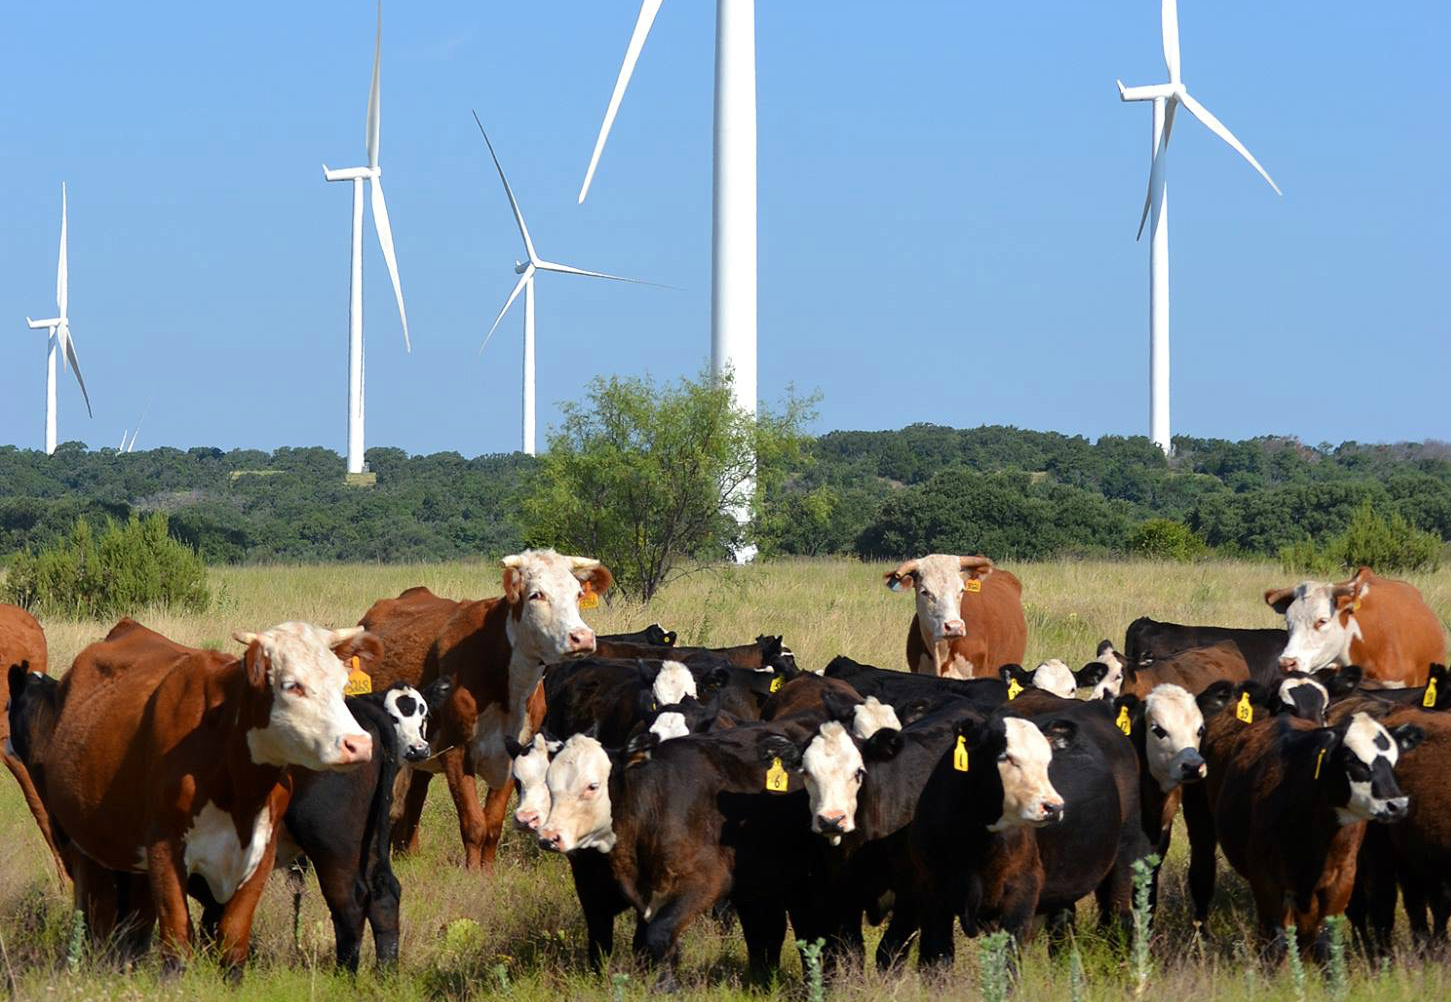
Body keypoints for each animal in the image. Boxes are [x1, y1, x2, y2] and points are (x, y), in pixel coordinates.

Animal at [43, 620, 377, 974]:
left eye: (343, 684)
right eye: (292, 685)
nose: (358, 744)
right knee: (96, 907)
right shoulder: (164, 846)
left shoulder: (263, 851)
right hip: (82, 843)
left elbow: (232, 938)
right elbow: (177, 939)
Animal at [365, 548, 615, 870]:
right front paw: (472, 875)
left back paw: (408, 853)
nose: (581, 637)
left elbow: (493, 824)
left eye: (577, 594)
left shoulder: (515, 751)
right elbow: (474, 823)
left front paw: (486, 873)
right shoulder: (457, 751)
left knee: (414, 795)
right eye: (536, 594)